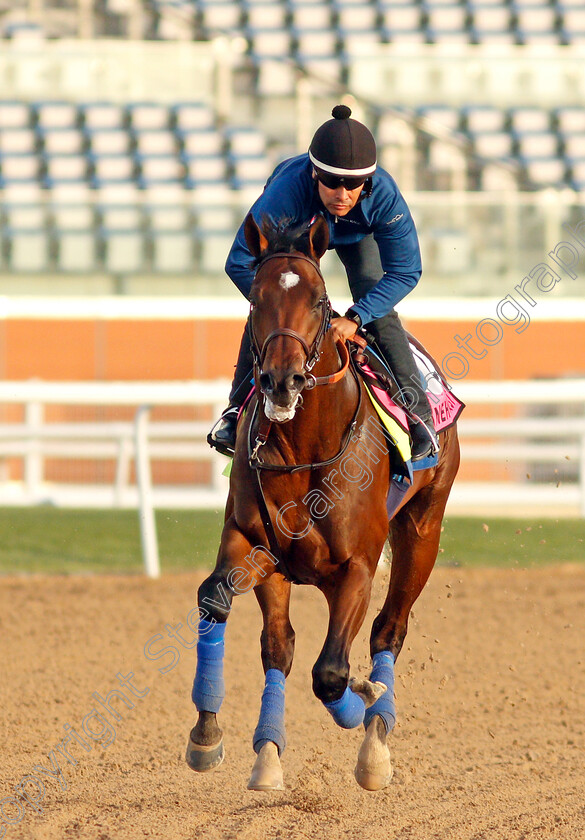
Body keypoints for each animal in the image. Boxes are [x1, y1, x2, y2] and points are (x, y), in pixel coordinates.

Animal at [185, 213, 458, 792]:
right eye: (255, 299)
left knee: (388, 630)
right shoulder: (255, 545)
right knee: (281, 644)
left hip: (422, 531)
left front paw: (367, 705)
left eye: (317, 300)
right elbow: (223, 605)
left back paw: (376, 739)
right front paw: (212, 737)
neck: (304, 449)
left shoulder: (357, 566)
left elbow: (331, 673)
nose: (281, 380)